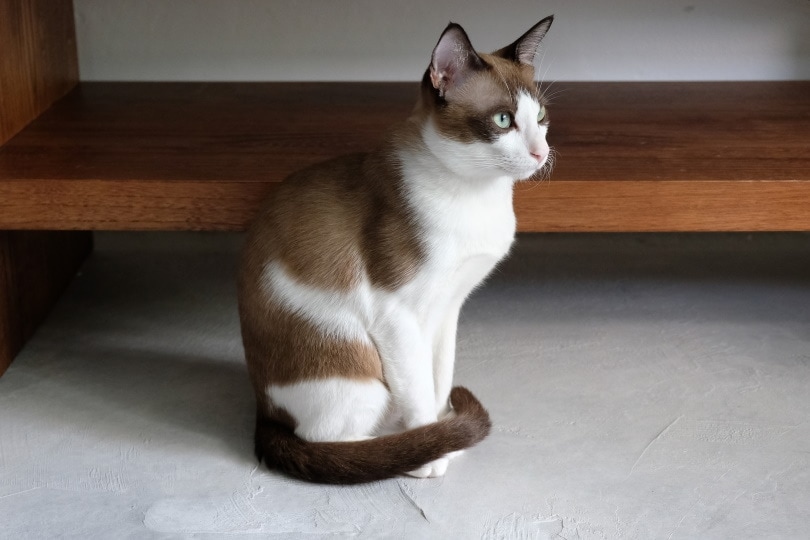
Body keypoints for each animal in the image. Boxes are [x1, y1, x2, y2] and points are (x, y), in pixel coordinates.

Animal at [237, 16, 552, 484]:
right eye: (502, 120)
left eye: (541, 117)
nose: (540, 152)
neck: (476, 196)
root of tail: (263, 412)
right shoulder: (397, 313)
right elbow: (418, 390)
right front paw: (428, 452)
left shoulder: (448, 307)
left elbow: (438, 380)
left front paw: (444, 433)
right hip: (361, 374)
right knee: (328, 441)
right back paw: (397, 446)